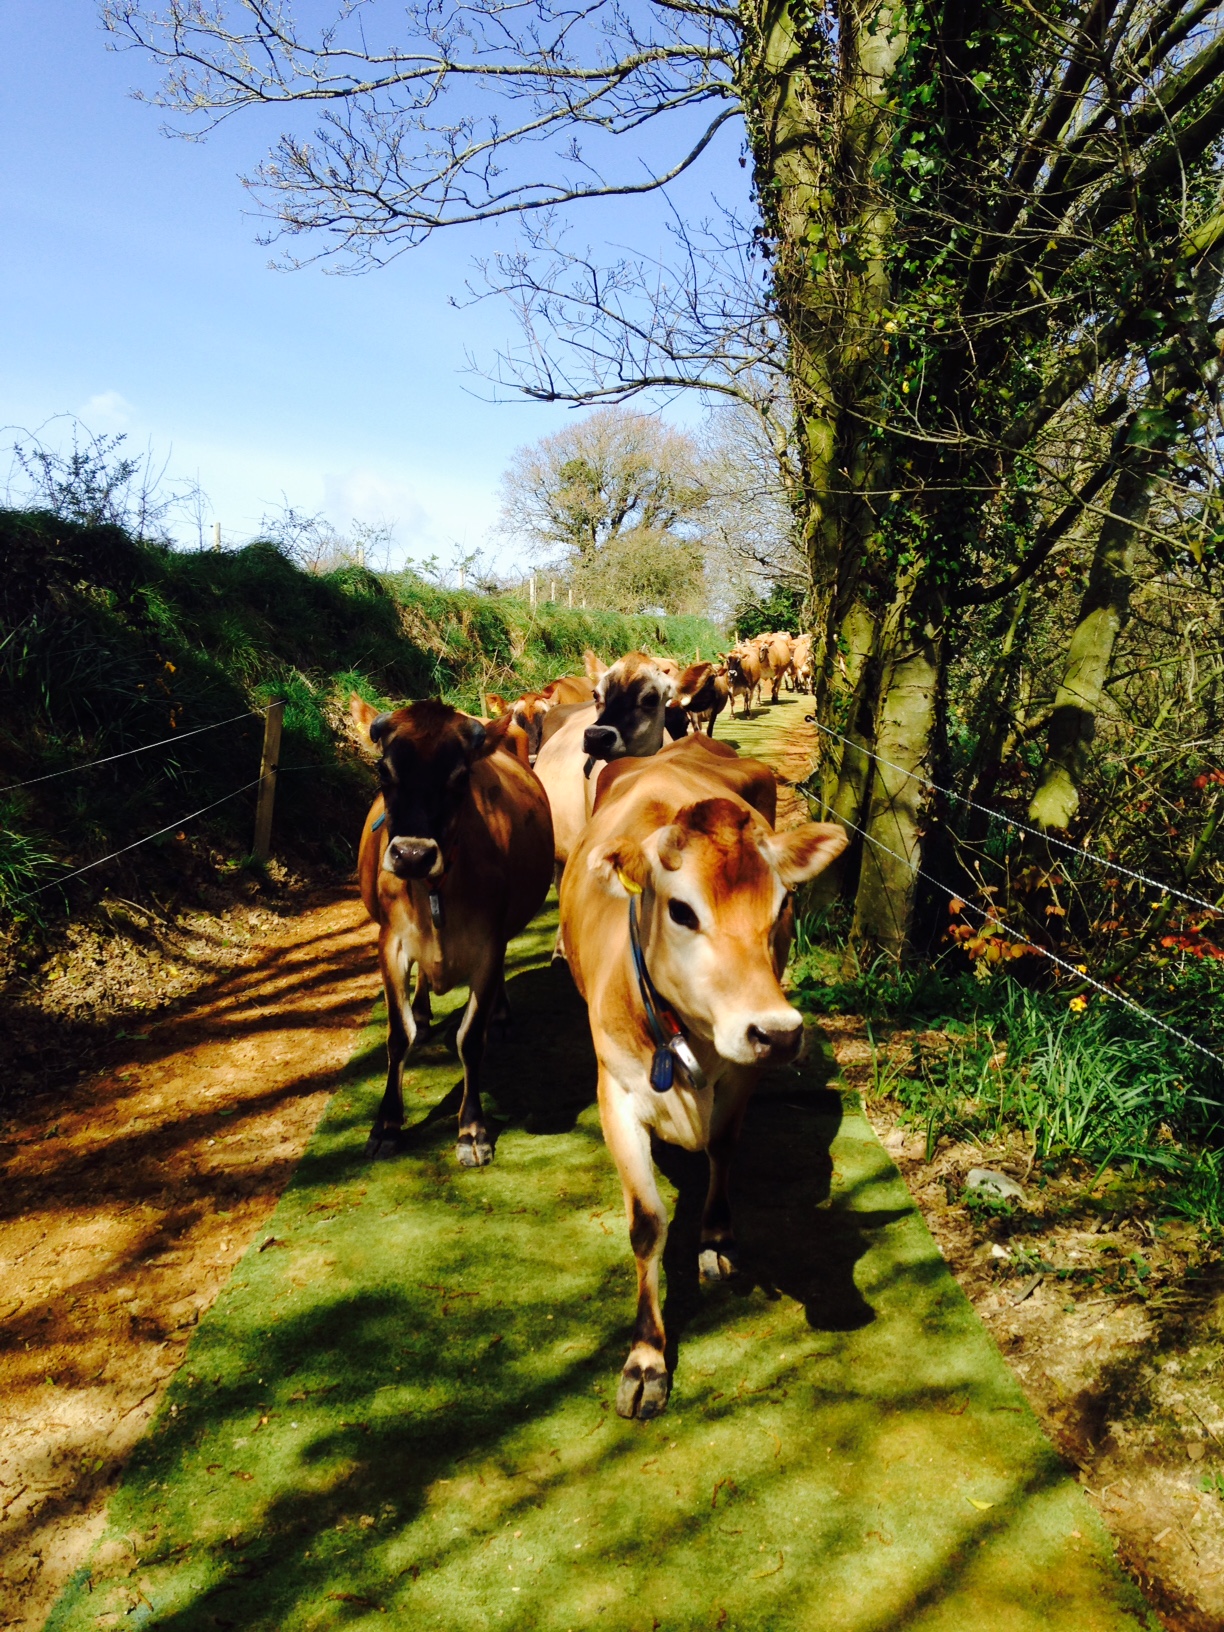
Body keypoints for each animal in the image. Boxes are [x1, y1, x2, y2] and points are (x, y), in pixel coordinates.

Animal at [349, 701, 551, 1175]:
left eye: (460, 778)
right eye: (383, 771)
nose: (412, 855)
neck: (434, 889)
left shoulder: (489, 945)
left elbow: (470, 1039)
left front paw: (472, 1131)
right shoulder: (390, 943)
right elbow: (397, 1036)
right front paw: (386, 1125)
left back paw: (501, 1013)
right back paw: (424, 1013)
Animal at [564, 740, 855, 1416]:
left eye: (784, 905)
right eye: (680, 910)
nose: (778, 1032)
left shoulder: (740, 1079)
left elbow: (724, 1147)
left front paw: (717, 1238)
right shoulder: (616, 1095)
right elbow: (646, 1225)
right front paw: (646, 1357)